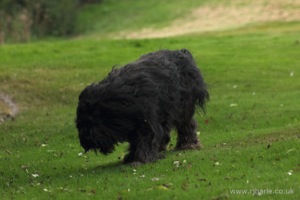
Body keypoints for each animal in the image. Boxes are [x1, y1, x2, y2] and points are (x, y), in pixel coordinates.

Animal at [75, 48, 209, 164]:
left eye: (91, 121)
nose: (86, 141)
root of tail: (181, 52)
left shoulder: (146, 118)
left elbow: (147, 136)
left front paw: (142, 159)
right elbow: (136, 140)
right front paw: (131, 156)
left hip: (183, 105)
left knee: (185, 124)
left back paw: (188, 144)